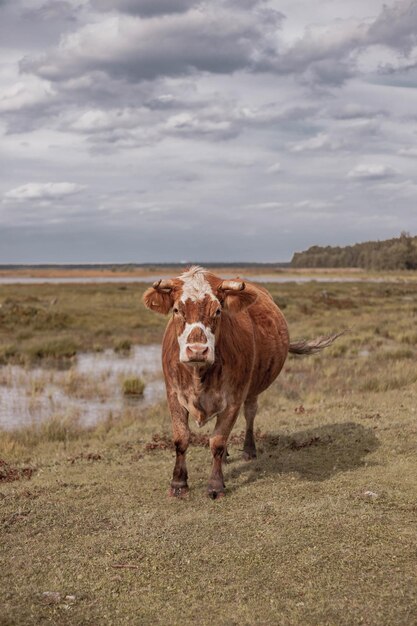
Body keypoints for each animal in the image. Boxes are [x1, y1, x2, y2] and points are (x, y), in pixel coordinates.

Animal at [141, 266, 340, 500]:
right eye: (176, 310)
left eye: (218, 311)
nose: (197, 350)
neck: (199, 374)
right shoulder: (173, 395)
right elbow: (181, 439)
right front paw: (178, 483)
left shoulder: (234, 399)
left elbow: (217, 441)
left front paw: (215, 485)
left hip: (253, 389)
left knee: (250, 414)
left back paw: (248, 450)